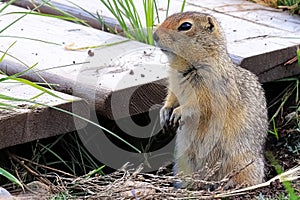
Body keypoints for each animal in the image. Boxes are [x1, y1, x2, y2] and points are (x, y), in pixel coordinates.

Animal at [154, 11, 268, 186]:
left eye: (185, 26)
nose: (154, 36)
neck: (185, 66)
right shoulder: (174, 86)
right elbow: (171, 98)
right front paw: (165, 112)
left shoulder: (211, 90)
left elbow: (198, 105)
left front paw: (178, 112)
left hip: (242, 163)